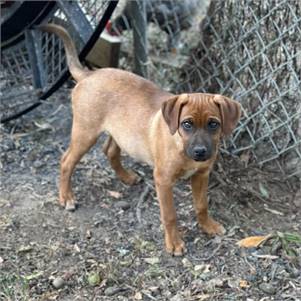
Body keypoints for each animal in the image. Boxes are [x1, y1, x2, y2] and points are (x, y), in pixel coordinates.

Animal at [39, 24, 239, 255]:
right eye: (186, 124)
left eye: (213, 124)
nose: (200, 152)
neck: (181, 146)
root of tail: (88, 75)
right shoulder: (163, 180)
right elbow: (170, 215)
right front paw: (174, 243)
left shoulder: (201, 175)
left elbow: (201, 205)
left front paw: (208, 226)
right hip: (85, 133)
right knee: (66, 161)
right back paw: (67, 197)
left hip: (119, 132)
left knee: (109, 151)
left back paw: (126, 177)